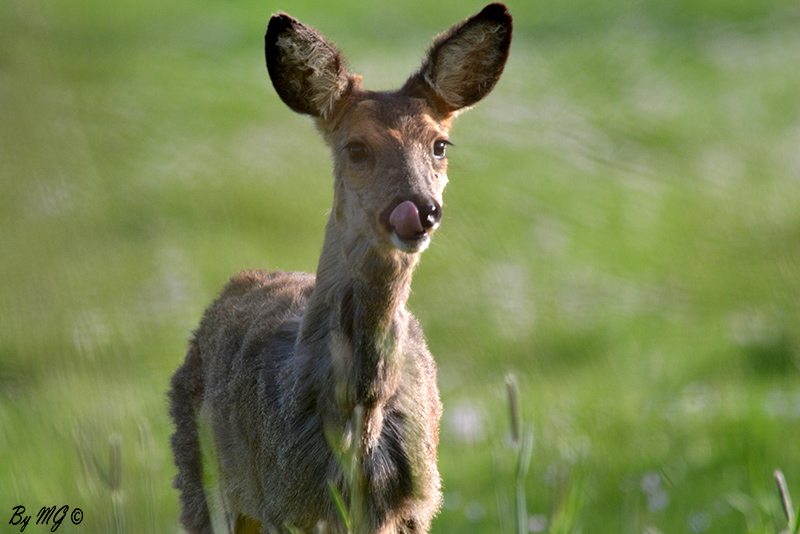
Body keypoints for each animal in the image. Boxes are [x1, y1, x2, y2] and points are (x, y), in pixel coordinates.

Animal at [169, 5, 512, 534]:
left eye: (440, 144)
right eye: (356, 148)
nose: (420, 209)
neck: (358, 418)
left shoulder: (415, 502)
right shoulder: (285, 500)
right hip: (200, 478)